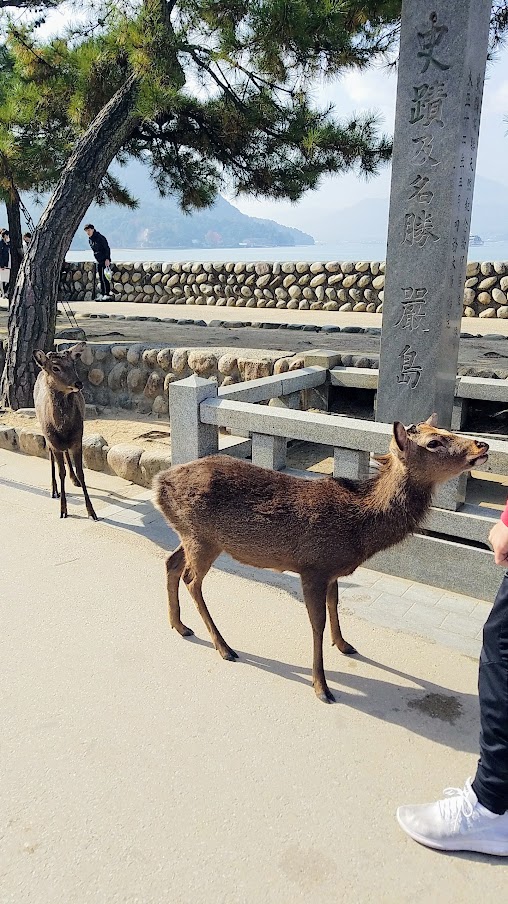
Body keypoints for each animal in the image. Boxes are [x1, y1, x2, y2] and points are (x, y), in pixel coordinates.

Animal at [33, 340, 99, 524]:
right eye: (55, 367)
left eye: (73, 364)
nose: (78, 384)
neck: (62, 428)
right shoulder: (53, 441)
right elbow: (60, 471)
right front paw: (63, 510)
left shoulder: (78, 438)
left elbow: (82, 473)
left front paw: (92, 512)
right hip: (46, 435)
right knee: (51, 457)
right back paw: (53, 490)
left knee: (66, 454)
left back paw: (73, 479)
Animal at [155, 416, 488, 708]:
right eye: (433, 442)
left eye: (444, 430)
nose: (482, 445)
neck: (359, 529)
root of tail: (160, 483)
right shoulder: (313, 567)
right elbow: (317, 623)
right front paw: (322, 687)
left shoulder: (332, 571)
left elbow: (335, 603)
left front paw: (344, 644)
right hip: (203, 538)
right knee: (191, 580)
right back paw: (224, 646)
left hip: (192, 535)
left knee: (171, 563)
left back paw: (179, 625)